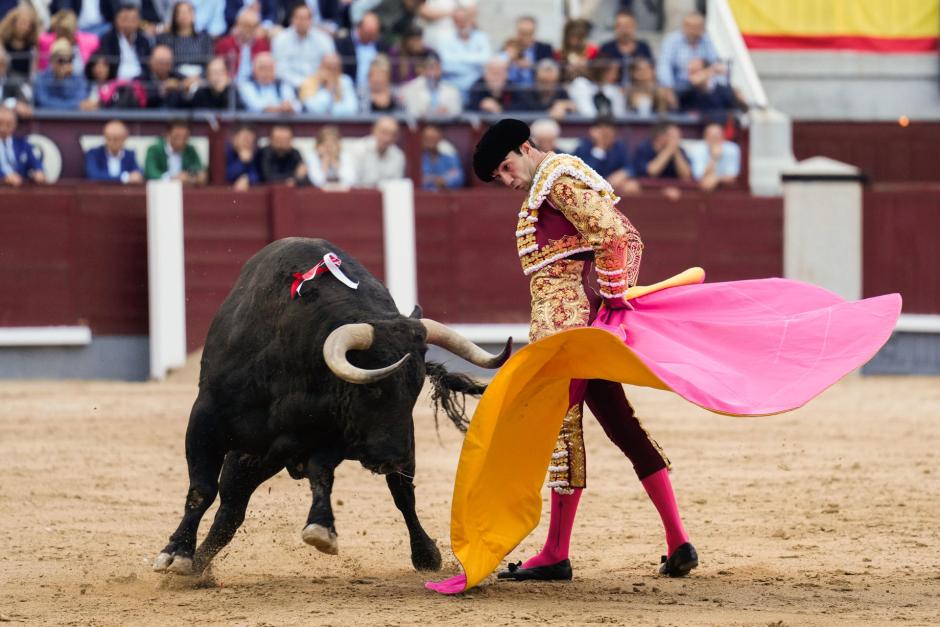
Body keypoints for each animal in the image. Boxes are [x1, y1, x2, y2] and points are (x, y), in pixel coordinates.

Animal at [151, 238, 510, 576]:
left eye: (415, 388)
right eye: (374, 388)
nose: (394, 458)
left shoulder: (333, 433)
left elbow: (321, 474)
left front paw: (321, 529)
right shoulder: (206, 420)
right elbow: (202, 489)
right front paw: (176, 555)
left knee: (402, 494)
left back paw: (425, 554)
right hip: (250, 457)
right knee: (230, 508)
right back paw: (196, 567)